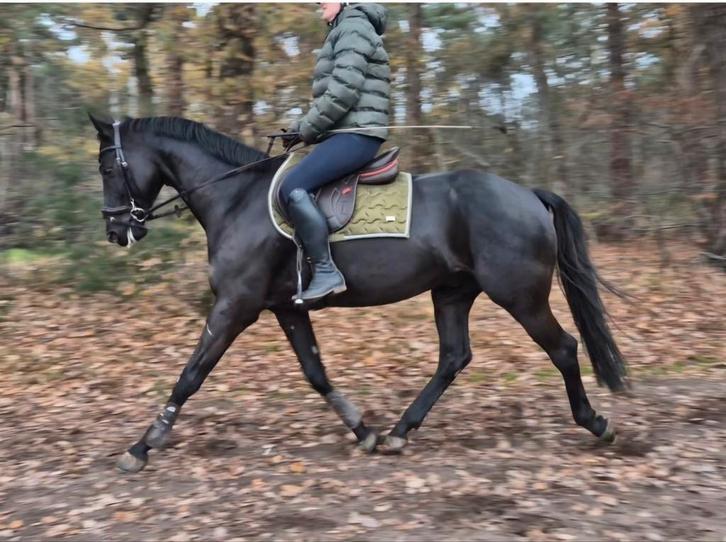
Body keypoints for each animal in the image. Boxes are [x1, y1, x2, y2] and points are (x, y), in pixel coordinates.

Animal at [89, 114, 627, 473]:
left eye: (108, 169)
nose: (116, 231)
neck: (236, 199)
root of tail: (527, 194)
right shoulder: (285, 308)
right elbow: (316, 373)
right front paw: (363, 430)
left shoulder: (235, 307)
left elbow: (191, 375)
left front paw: (143, 446)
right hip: (452, 293)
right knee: (454, 358)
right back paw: (398, 433)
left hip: (519, 295)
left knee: (563, 348)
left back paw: (595, 422)